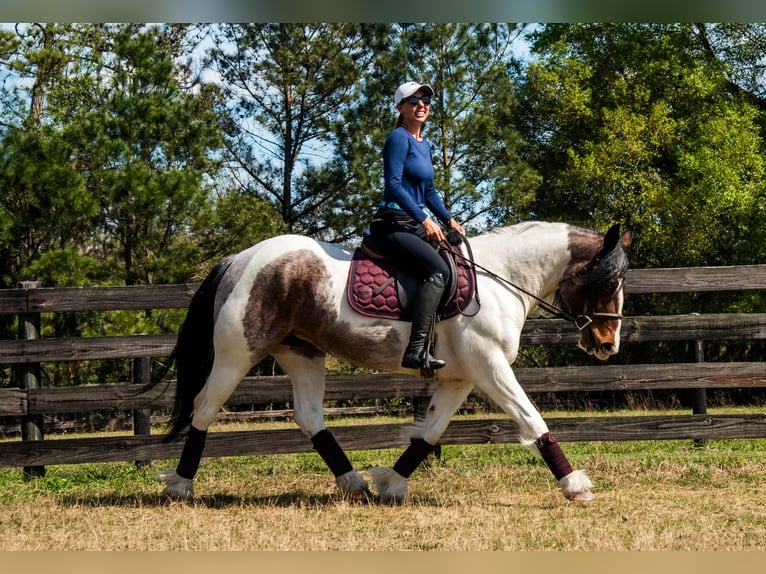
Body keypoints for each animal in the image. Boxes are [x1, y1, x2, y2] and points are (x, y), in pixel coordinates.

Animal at [153, 220, 632, 504]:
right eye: (609, 282)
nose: (608, 345)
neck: (502, 279)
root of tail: (241, 258)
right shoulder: (490, 366)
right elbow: (533, 420)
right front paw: (575, 485)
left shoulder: (460, 378)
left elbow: (430, 431)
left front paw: (392, 483)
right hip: (238, 352)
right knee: (204, 408)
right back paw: (180, 485)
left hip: (302, 352)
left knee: (309, 417)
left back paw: (354, 483)